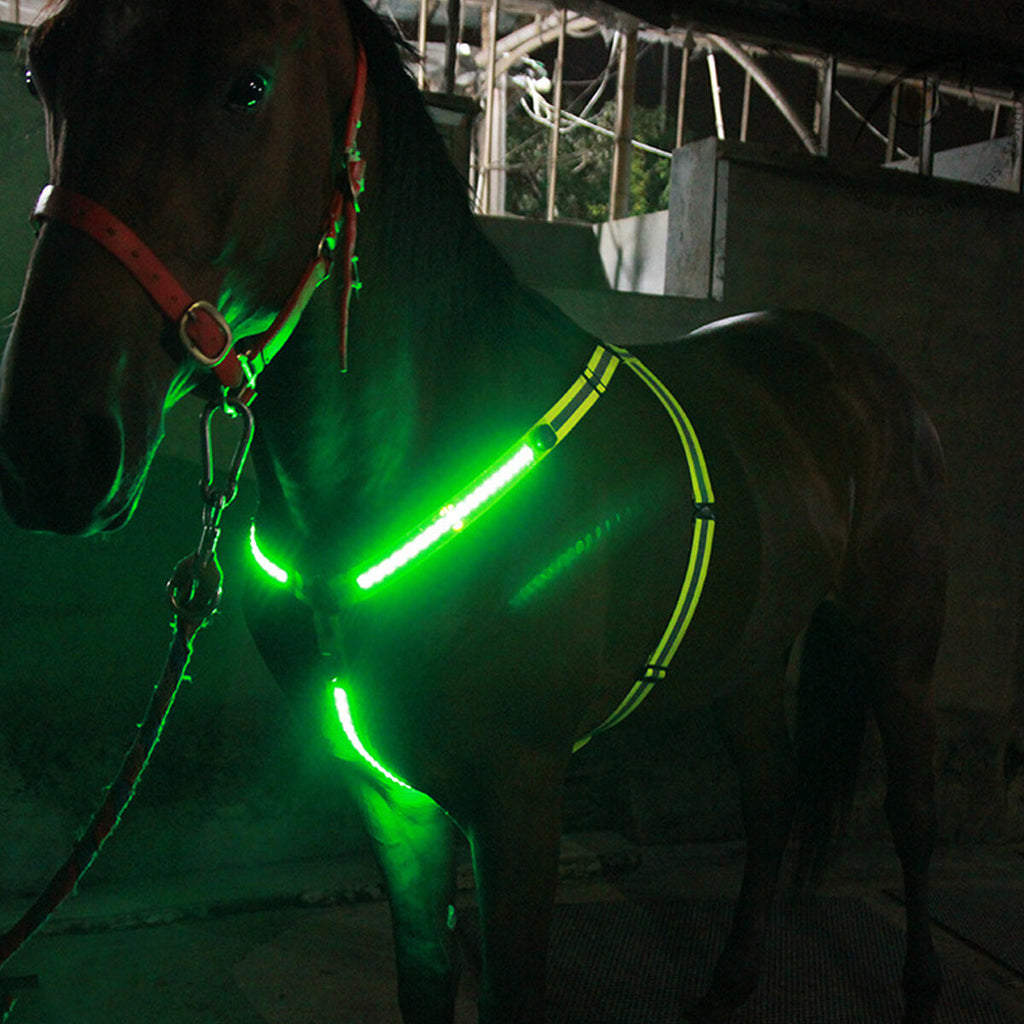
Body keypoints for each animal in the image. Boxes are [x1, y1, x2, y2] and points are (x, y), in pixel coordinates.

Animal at [0, 1, 948, 1022]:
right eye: (41, 72)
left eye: (247, 85)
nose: (49, 450)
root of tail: (863, 368)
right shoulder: (390, 793)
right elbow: (424, 976)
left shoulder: (518, 801)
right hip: (745, 657)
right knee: (771, 801)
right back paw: (729, 983)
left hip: (898, 651)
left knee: (912, 818)